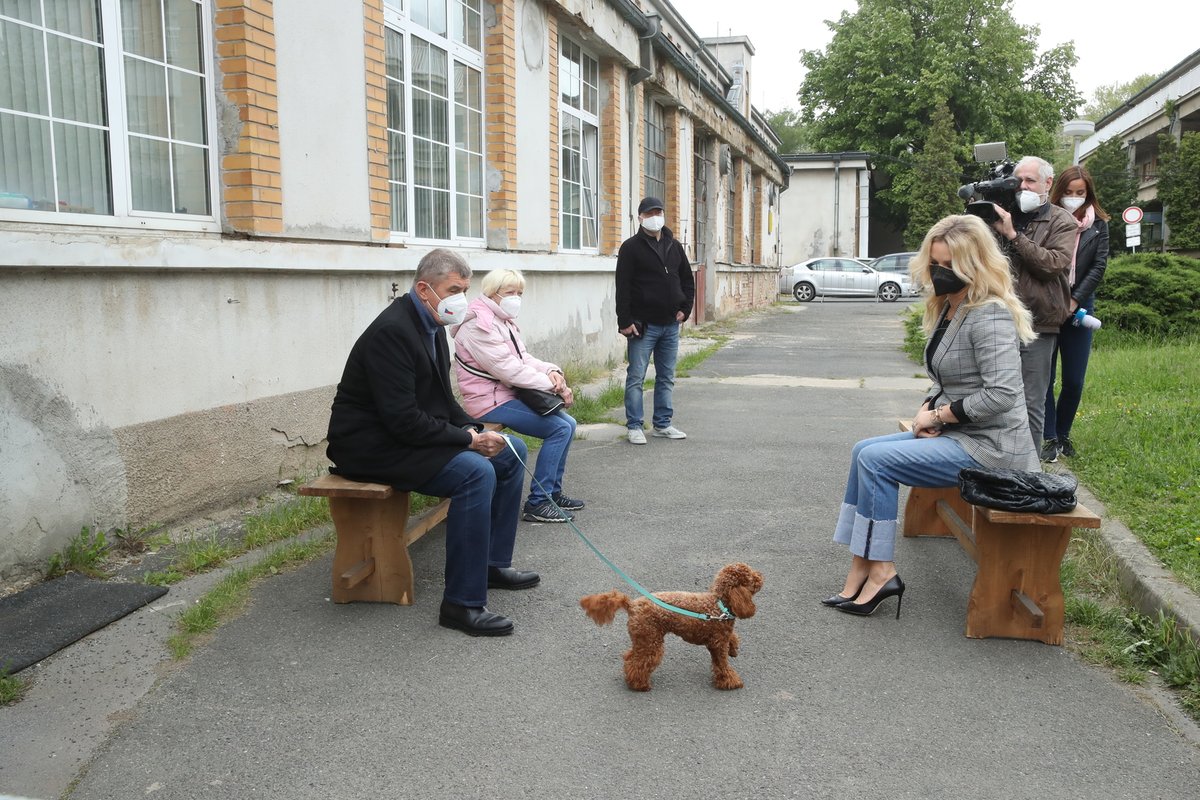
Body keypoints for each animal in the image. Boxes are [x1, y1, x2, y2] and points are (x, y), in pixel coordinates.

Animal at [578, 563, 758, 690]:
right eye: (751, 578)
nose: (761, 576)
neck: (719, 604)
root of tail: (632, 605)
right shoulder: (718, 643)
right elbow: (722, 664)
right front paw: (731, 682)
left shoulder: (720, 637)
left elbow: (732, 639)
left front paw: (733, 649)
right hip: (651, 639)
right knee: (638, 663)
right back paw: (639, 685)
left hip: (642, 638)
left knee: (630, 656)